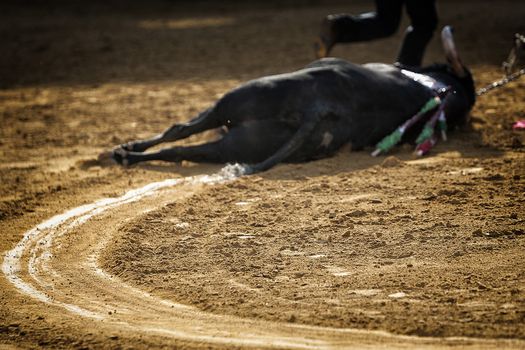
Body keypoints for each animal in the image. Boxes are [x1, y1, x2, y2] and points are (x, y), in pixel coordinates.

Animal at [108, 26, 472, 174]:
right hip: (238, 144)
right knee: (183, 150)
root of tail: (320, 107)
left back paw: (125, 152)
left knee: (179, 131)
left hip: (233, 100)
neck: (428, 87)